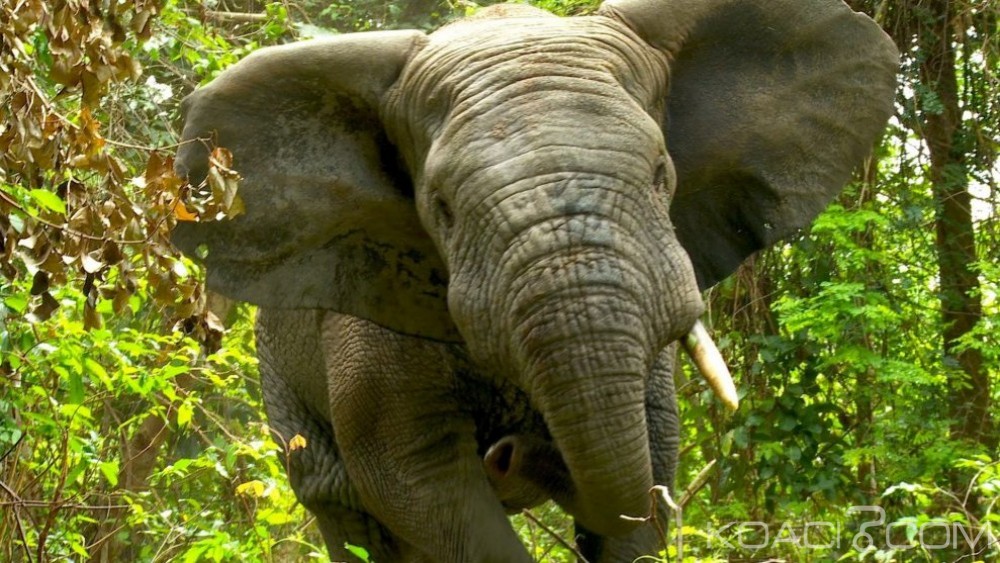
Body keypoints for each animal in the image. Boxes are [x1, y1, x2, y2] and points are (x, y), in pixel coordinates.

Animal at [171, 0, 898, 560]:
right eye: (442, 208)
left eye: (661, 172)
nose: (509, 448)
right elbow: (412, 479)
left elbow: (650, 459)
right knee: (343, 508)